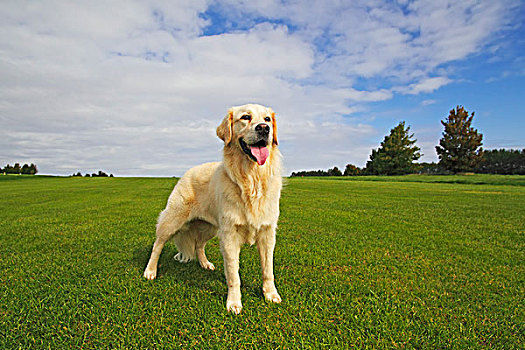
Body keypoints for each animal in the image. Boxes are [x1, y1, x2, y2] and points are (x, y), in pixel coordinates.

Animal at [143, 103, 282, 314]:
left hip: (210, 228)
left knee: (198, 245)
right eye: (246, 117)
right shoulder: (230, 236)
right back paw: (150, 271)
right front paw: (234, 303)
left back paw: (205, 264)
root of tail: (188, 172)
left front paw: (270, 294)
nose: (264, 129)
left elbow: (268, 270)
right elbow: (234, 275)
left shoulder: (267, 233)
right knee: (157, 245)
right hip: (173, 221)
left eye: (267, 119)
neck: (252, 179)